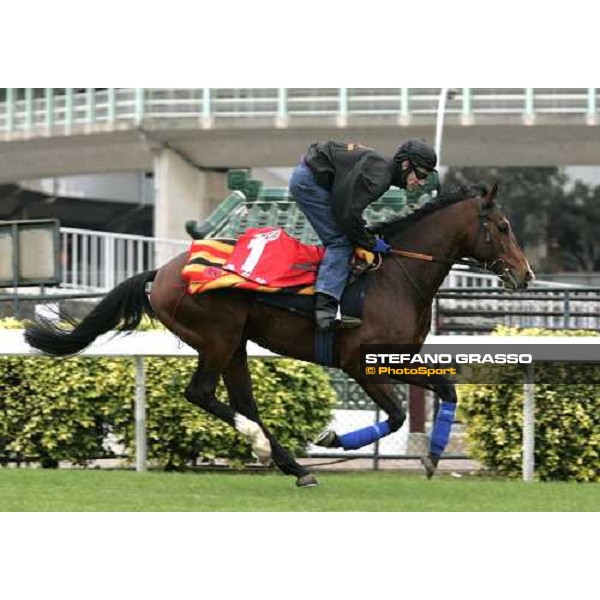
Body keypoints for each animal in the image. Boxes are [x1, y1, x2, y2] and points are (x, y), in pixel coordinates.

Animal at [23, 183, 532, 488]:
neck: (396, 276)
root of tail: (162, 271)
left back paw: (293, 465)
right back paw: (265, 445)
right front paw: (334, 439)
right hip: (217, 336)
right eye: (503, 226)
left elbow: (446, 391)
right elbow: (396, 415)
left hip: (236, 344)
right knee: (202, 393)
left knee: (241, 401)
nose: (525, 274)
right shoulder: (359, 363)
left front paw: (432, 457)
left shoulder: (398, 358)